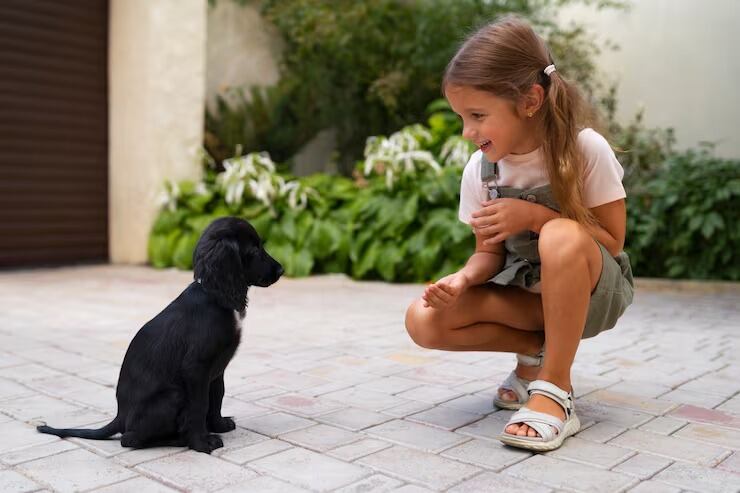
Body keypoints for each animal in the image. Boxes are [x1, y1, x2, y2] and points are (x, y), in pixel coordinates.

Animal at [37, 217, 283, 453]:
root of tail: (120, 417)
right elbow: (200, 405)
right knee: (129, 439)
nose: (281, 270)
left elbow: (217, 396)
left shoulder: (217, 368)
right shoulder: (196, 368)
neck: (213, 295)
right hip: (174, 395)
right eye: (254, 250)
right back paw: (179, 439)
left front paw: (219, 425)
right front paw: (201, 442)